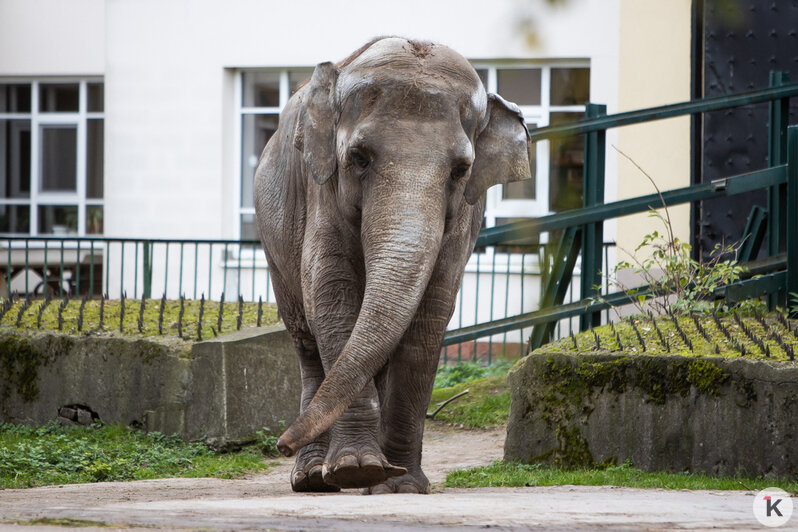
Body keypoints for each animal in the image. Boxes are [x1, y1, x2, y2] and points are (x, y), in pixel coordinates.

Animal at [255, 36, 532, 494]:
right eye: (359, 158)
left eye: (461, 170)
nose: (278, 445)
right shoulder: (321, 190)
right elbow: (331, 296)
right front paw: (356, 469)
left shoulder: (465, 217)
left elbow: (431, 313)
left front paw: (401, 485)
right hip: (272, 238)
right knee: (306, 341)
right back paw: (314, 478)